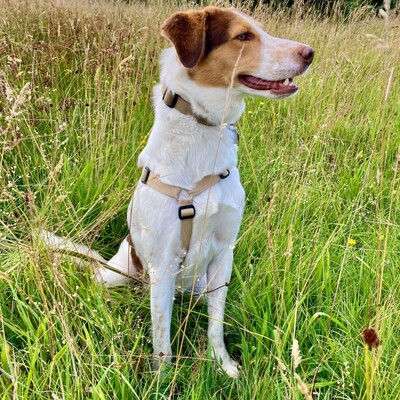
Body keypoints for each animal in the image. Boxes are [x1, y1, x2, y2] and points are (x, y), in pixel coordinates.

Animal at [43, 5, 312, 378]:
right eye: (243, 36)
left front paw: (222, 363)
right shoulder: (163, 263)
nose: (310, 52)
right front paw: (163, 379)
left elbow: (215, 325)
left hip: (197, 284)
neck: (202, 134)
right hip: (122, 274)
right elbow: (162, 340)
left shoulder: (224, 255)